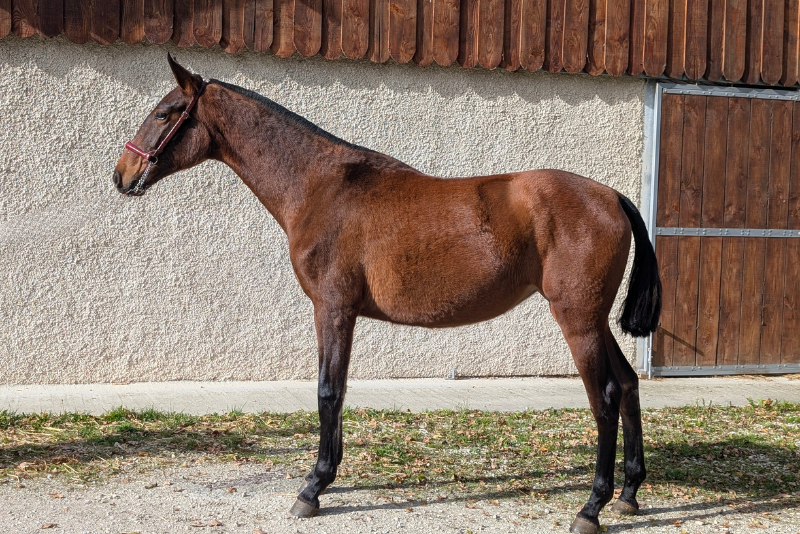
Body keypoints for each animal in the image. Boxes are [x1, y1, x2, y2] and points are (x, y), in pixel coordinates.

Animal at [113, 55, 661, 534]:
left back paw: (592, 507)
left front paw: (312, 488)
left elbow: (328, 391)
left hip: (577, 319)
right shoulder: (345, 313)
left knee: (605, 396)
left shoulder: (332, 308)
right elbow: (338, 390)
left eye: (163, 113)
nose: (120, 175)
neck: (321, 186)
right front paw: (328, 476)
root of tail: (611, 195)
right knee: (629, 383)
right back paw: (630, 494)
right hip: (594, 319)